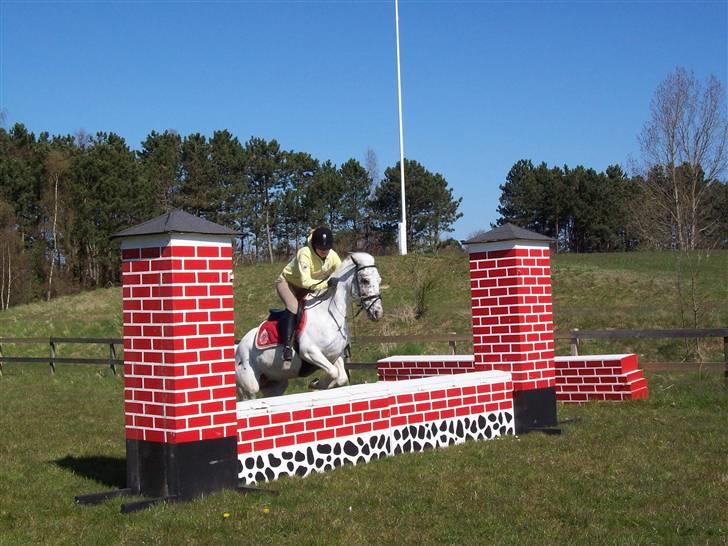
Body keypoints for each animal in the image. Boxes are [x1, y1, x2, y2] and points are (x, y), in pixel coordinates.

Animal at [236, 252, 384, 400]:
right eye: (365, 280)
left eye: (379, 280)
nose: (377, 312)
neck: (329, 314)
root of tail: (238, 346)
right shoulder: (310, 352)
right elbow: (334, 372)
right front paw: (316, 384)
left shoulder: (333, 355)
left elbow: (340, 376)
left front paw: (318, 384)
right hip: (250, 386)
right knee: (248, 396)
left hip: (275, 384)